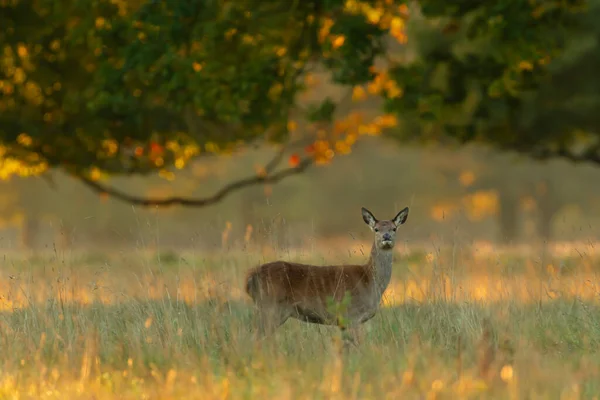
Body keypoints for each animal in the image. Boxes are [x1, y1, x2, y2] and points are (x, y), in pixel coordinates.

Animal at [244, 208, 408, 348]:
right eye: (376, 229)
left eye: (394, 228)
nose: (386, 237)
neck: (369, 280)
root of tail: (250, 278)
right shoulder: (352, 315)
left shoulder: (345, 321)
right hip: (270, 307)